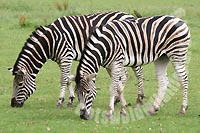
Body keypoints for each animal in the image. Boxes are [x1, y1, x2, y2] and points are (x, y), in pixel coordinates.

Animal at [8, 11, 144, 108]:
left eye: (20, 84)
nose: (13, 104)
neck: (51, 41)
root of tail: (129, 15)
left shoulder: (66, 56)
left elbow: (63, 79)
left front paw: (60, 101)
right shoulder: (61, 59)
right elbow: (67, 78)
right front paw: (70, 99)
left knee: (137, 73)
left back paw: (139, 97)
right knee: (123, 75)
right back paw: (117, 98)